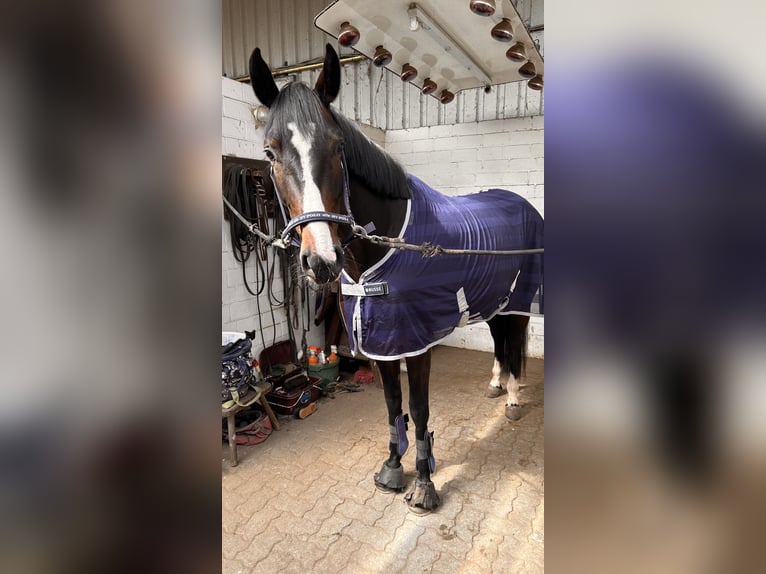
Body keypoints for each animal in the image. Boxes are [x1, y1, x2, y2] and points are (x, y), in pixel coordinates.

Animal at [248, 43, 543, 514]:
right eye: (270, 152)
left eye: (337, 147)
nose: (320, 260)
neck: (389, 245)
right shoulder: (382, 342)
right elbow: (391, 405)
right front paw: (391, 467)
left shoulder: (415, 343)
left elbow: (420, 411)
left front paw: (423, 485)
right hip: (494, 299)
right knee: (500, 343)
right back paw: (497, 386)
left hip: (518, 303)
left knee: (514, 345)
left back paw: (513, 398)